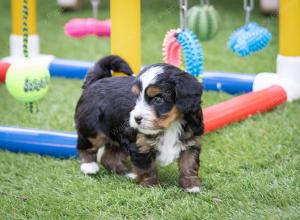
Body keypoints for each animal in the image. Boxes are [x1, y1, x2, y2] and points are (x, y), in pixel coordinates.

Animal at [75, 55, 204, 192]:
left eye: (158, 99)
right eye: (136, 98)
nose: (136, 119)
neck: (171, 125)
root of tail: (95, 82)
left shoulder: (191, 142)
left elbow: (189, 165)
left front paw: (191, 185)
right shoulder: (140, 145)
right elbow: (146, 168)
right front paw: (151, 185)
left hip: (120, 136)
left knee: (109, 157)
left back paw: (128, 173)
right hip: (92, 128)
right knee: (86, 146)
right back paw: (89, 166)